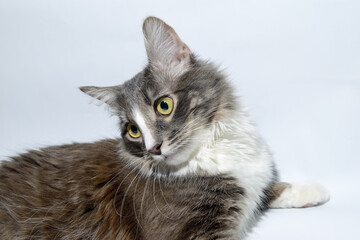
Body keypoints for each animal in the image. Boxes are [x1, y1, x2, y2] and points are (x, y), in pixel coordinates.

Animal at [0, 15, 330, 239]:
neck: (209, 151)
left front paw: (310, 189)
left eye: (164, 106)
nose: (153, 148)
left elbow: (265, 188)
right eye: (133, 130)